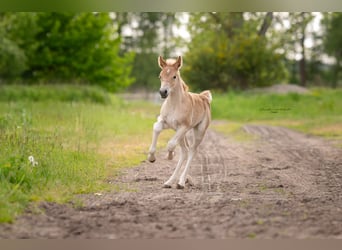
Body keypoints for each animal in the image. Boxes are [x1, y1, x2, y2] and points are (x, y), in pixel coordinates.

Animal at [147, 55, 211, 188]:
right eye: (160, 76)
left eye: (174, 76)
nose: (163, 92)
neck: (174, 105)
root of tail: (203, 97)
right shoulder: (165, 122)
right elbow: (156, 127)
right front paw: (151, 158)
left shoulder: (184, 127)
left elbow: (171, 144)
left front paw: (170, 156)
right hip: (181, 134)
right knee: (185, 151)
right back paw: (170, 182)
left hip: (198, 131)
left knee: (192, 151)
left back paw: (181, 182)